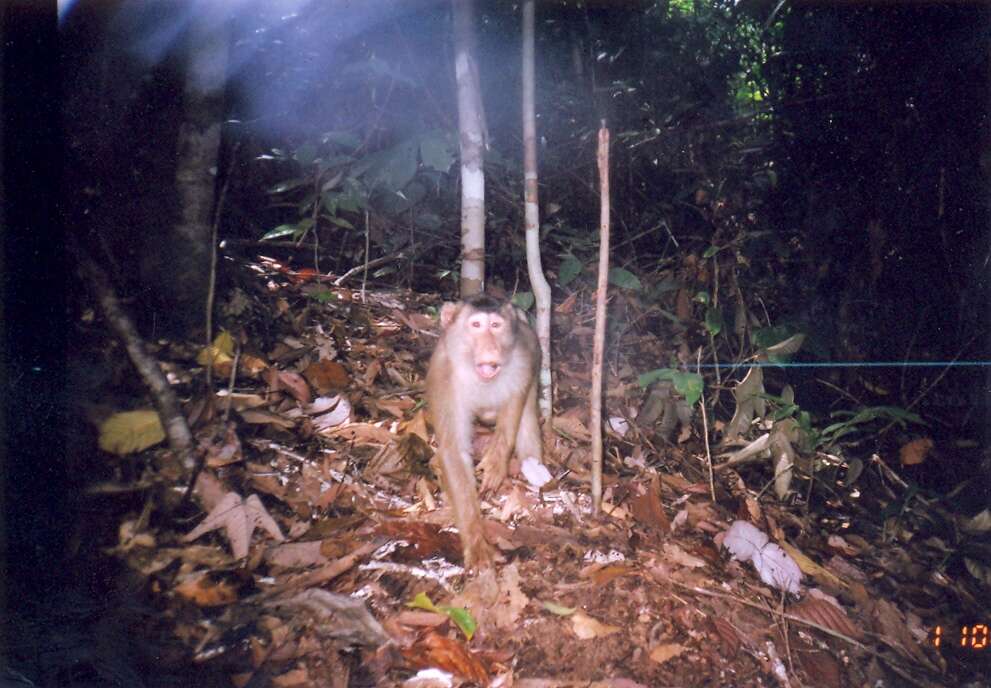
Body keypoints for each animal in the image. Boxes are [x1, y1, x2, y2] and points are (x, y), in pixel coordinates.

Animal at [426, 292, 544, 568]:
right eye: (477, 325)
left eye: (496, 325)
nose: (491, 349)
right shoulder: (443, 375)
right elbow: (454, 451)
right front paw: (476, 540)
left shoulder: (525, 357)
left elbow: (515, 401)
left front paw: (496, 463)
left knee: (526, 418)